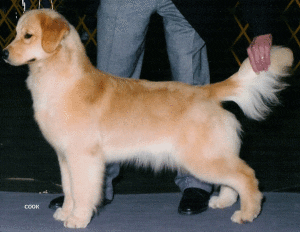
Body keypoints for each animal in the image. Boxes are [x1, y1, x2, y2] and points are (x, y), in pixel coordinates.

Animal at [2, 9, 292, 228]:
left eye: (28, 36)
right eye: (16, 33)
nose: (3, 53)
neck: (60, 78)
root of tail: (206, 91)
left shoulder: (83, 156)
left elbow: (83, 191)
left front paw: (77, 219)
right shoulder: (64, 156)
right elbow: (69, 188)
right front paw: (65, 211)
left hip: (202, 157)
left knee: (246, 175)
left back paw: (247, 213)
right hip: (211, 154)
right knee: (234, 178)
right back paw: (223, 201)